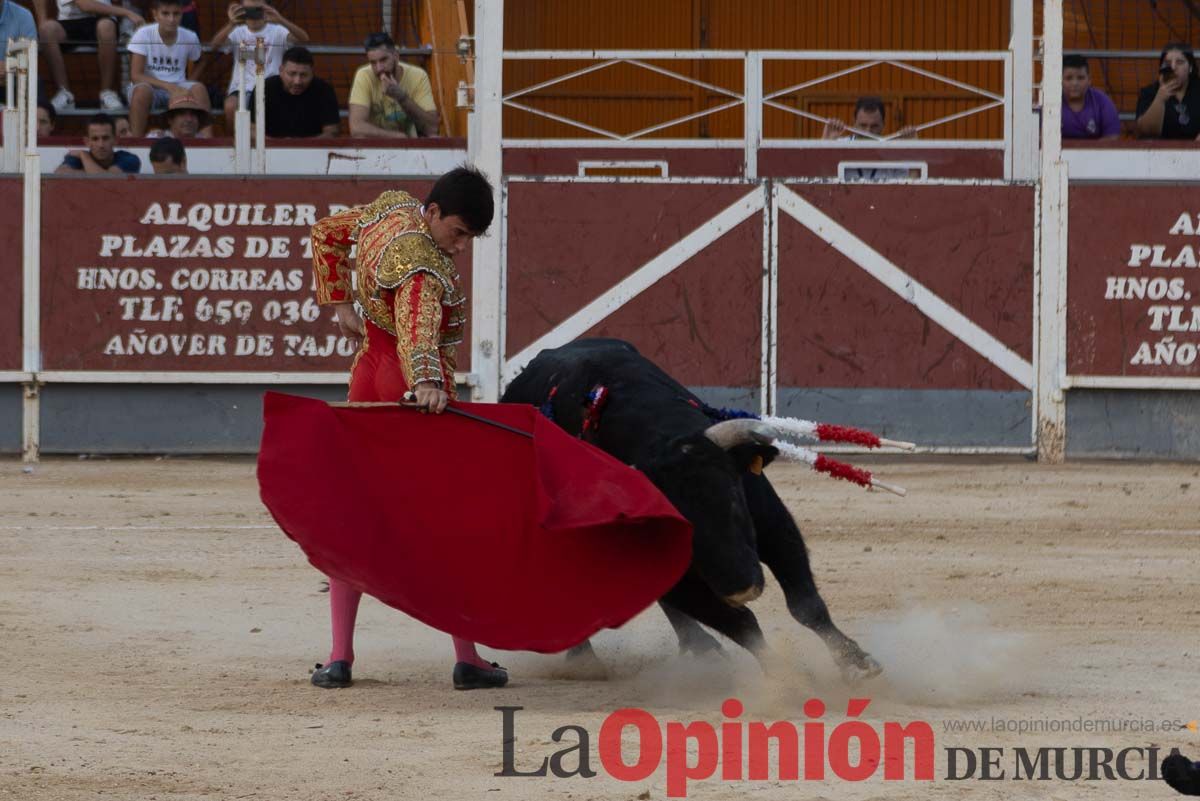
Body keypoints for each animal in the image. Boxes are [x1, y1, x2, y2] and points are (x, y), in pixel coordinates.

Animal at [496, 338, 883, 681]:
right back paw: (588, 660)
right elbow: (741, 623)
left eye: (733, 498)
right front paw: (785, 678)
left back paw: (701, 649)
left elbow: (805, 604)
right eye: (684, 526)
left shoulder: (772, 521)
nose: (741, 587)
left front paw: (855, 662)